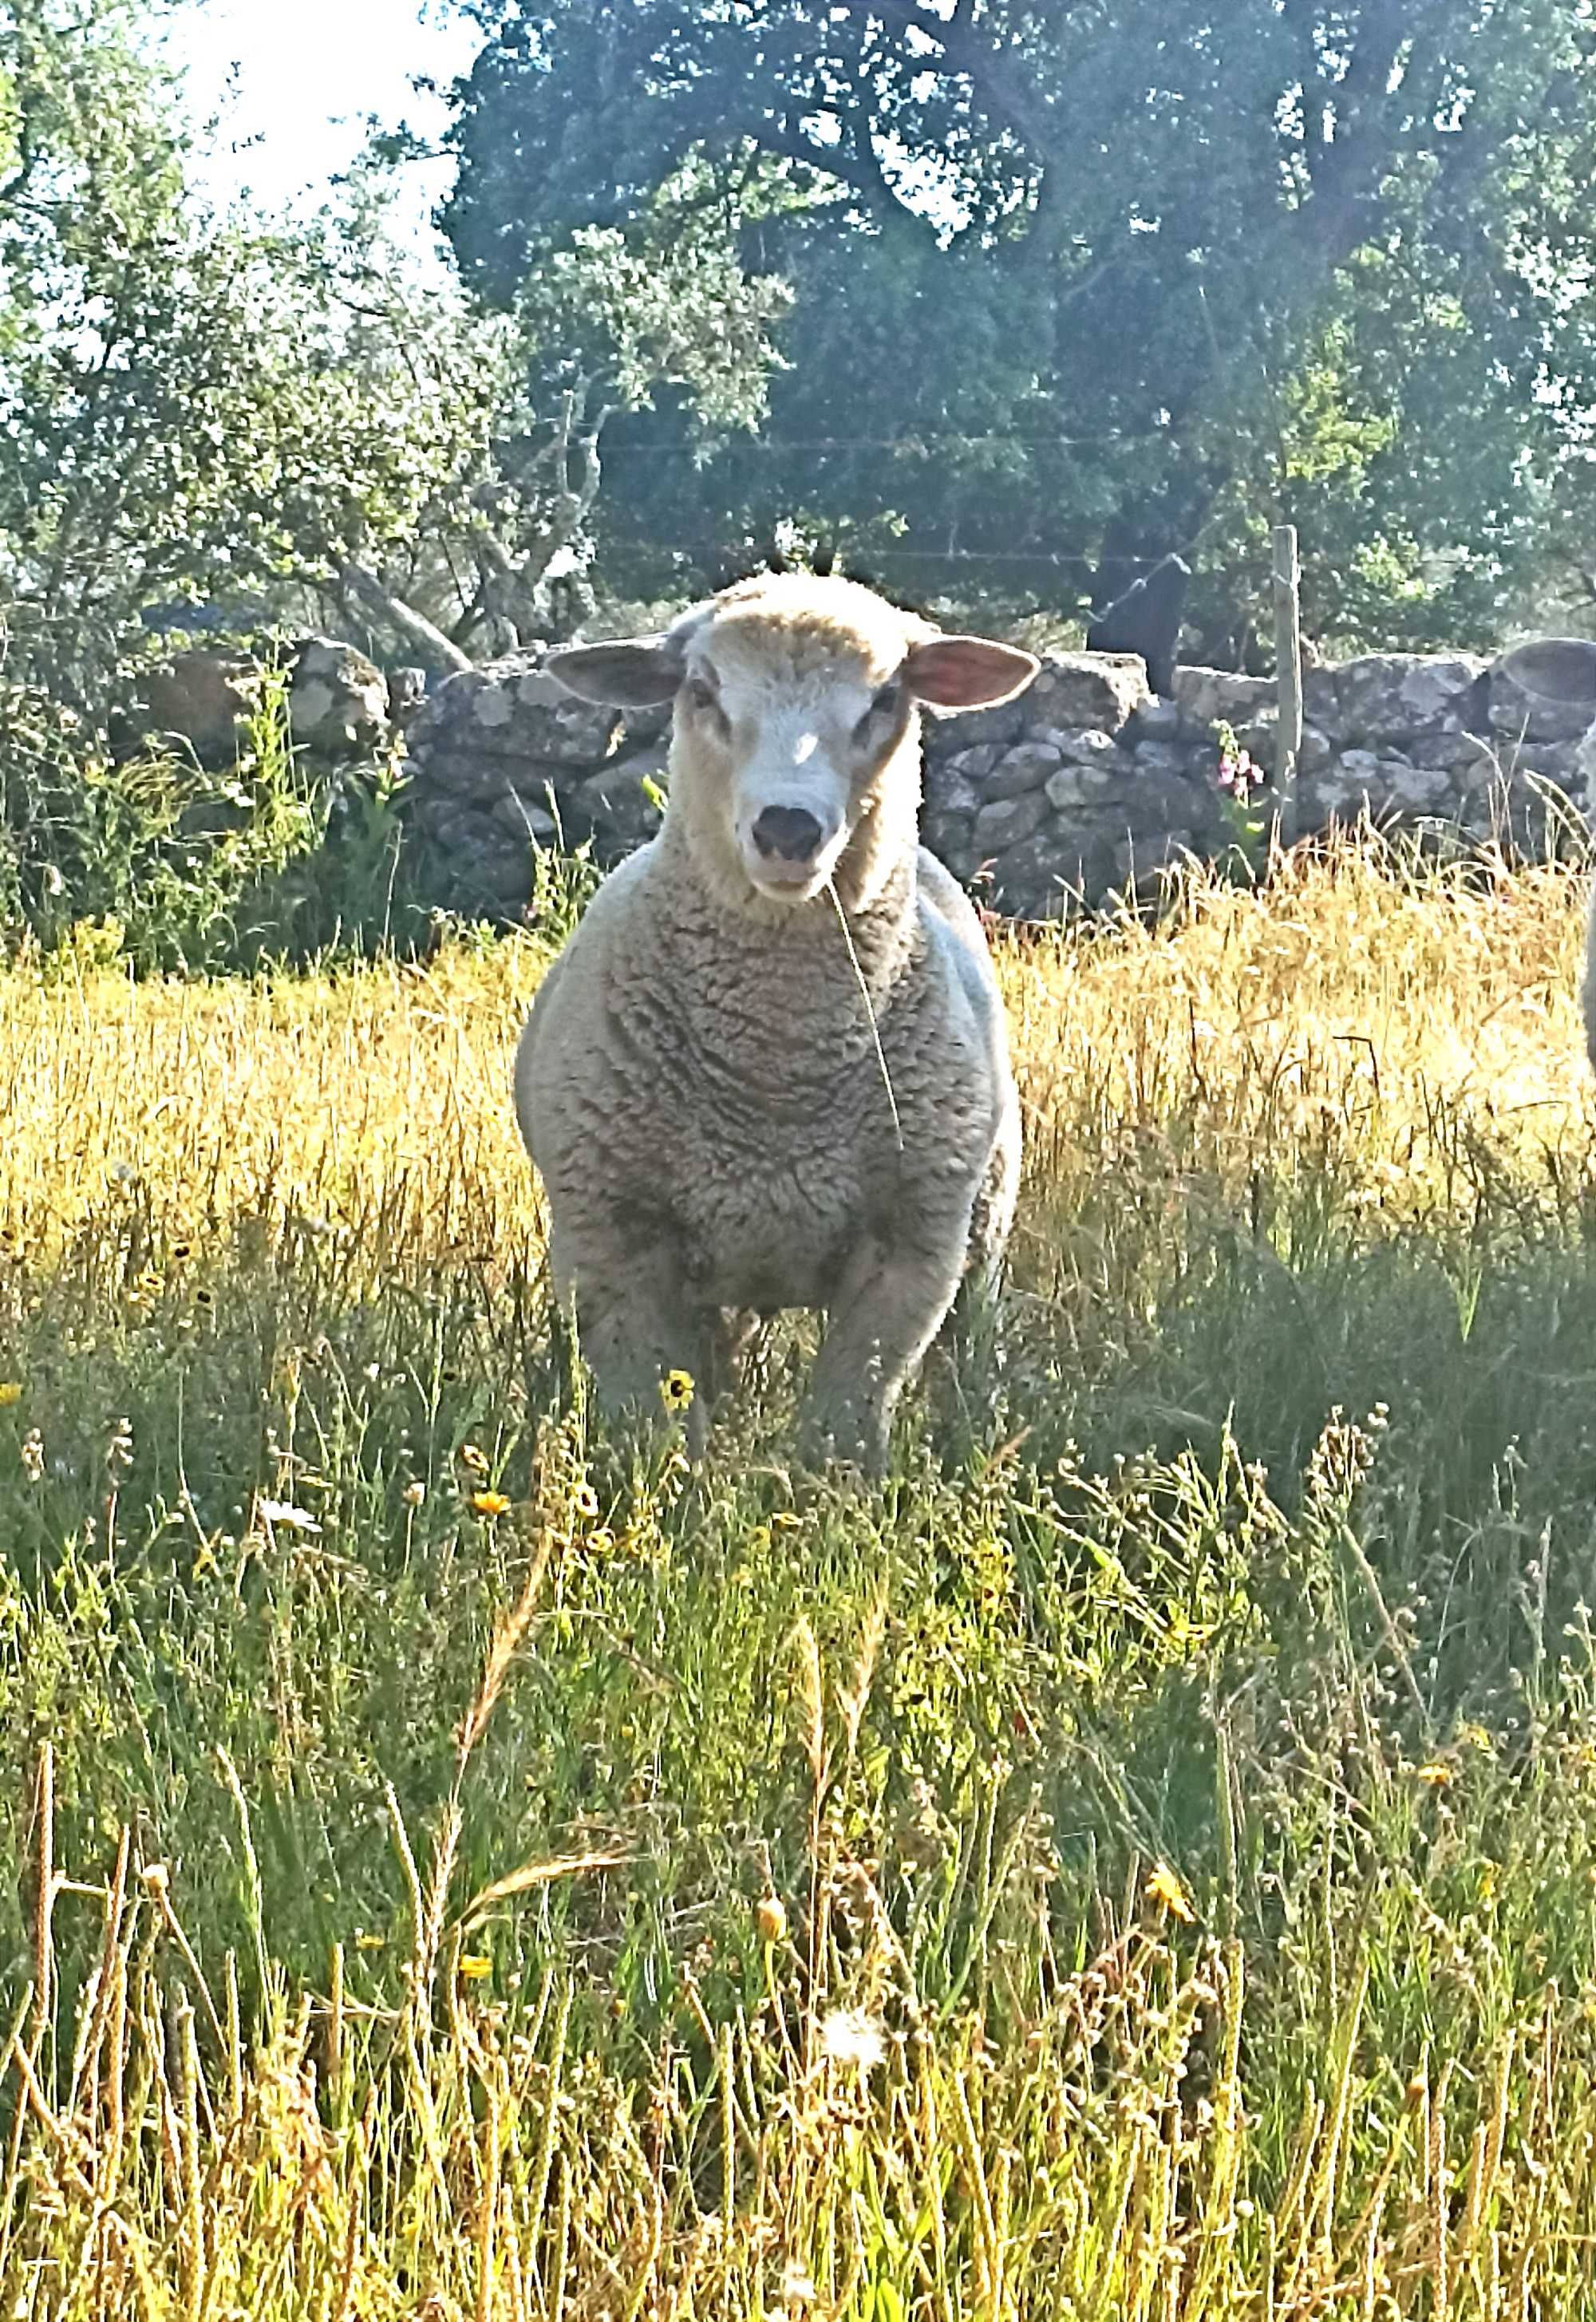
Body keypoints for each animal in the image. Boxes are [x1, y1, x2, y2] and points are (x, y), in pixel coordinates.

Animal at [508, 567, 1036, 1467]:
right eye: (699, 690)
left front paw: (830, 1500)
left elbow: (843, 1425)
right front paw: (663, 1496)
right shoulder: (612, 1239)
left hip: (982, 1227)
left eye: (886, 696)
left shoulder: (913, 1248)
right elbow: (652, 1425)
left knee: (972, 1345)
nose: (787, 827)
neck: (776, 1078)